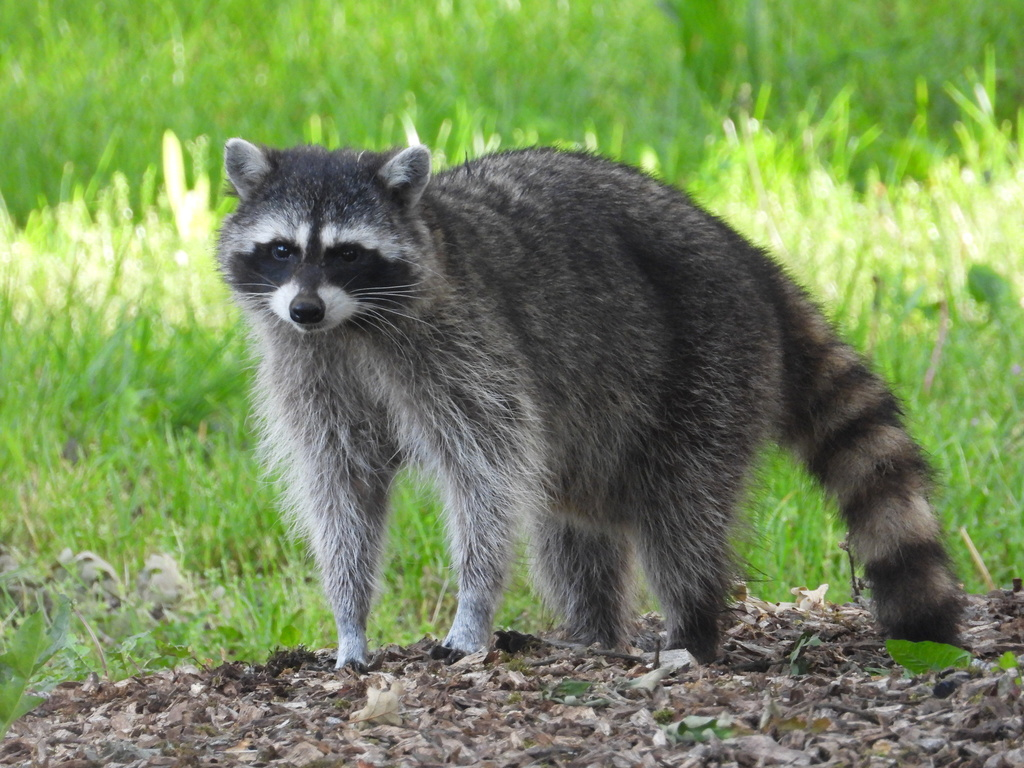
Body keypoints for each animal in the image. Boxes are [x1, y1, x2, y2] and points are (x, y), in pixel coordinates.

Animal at [217, 139, 964, 668]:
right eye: (281, 249)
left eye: (345, 254)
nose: (305, 308)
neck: (351, 327)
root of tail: (750, 258)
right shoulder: (311, 371)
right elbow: (344, 489)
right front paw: (349, 619)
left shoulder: (462, 347)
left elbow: (487, 477)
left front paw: (472, 609)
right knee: (573, 531)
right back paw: (597, 634)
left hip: (711, 363)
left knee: (681, 514)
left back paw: (693, 629)